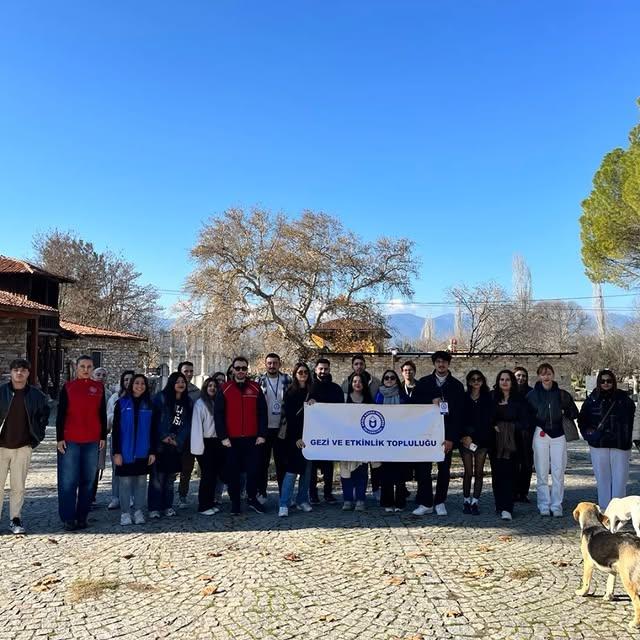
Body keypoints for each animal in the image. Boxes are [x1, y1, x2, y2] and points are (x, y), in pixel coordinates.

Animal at [572, 500, 640, 632]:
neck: (592, 524)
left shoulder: (587, 563)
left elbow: (586, 582)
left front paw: (582, 592)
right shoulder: (612, 568)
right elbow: (610, 583)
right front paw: (608, 597)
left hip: (628, 579)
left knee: (637, 601)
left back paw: (635, 623)